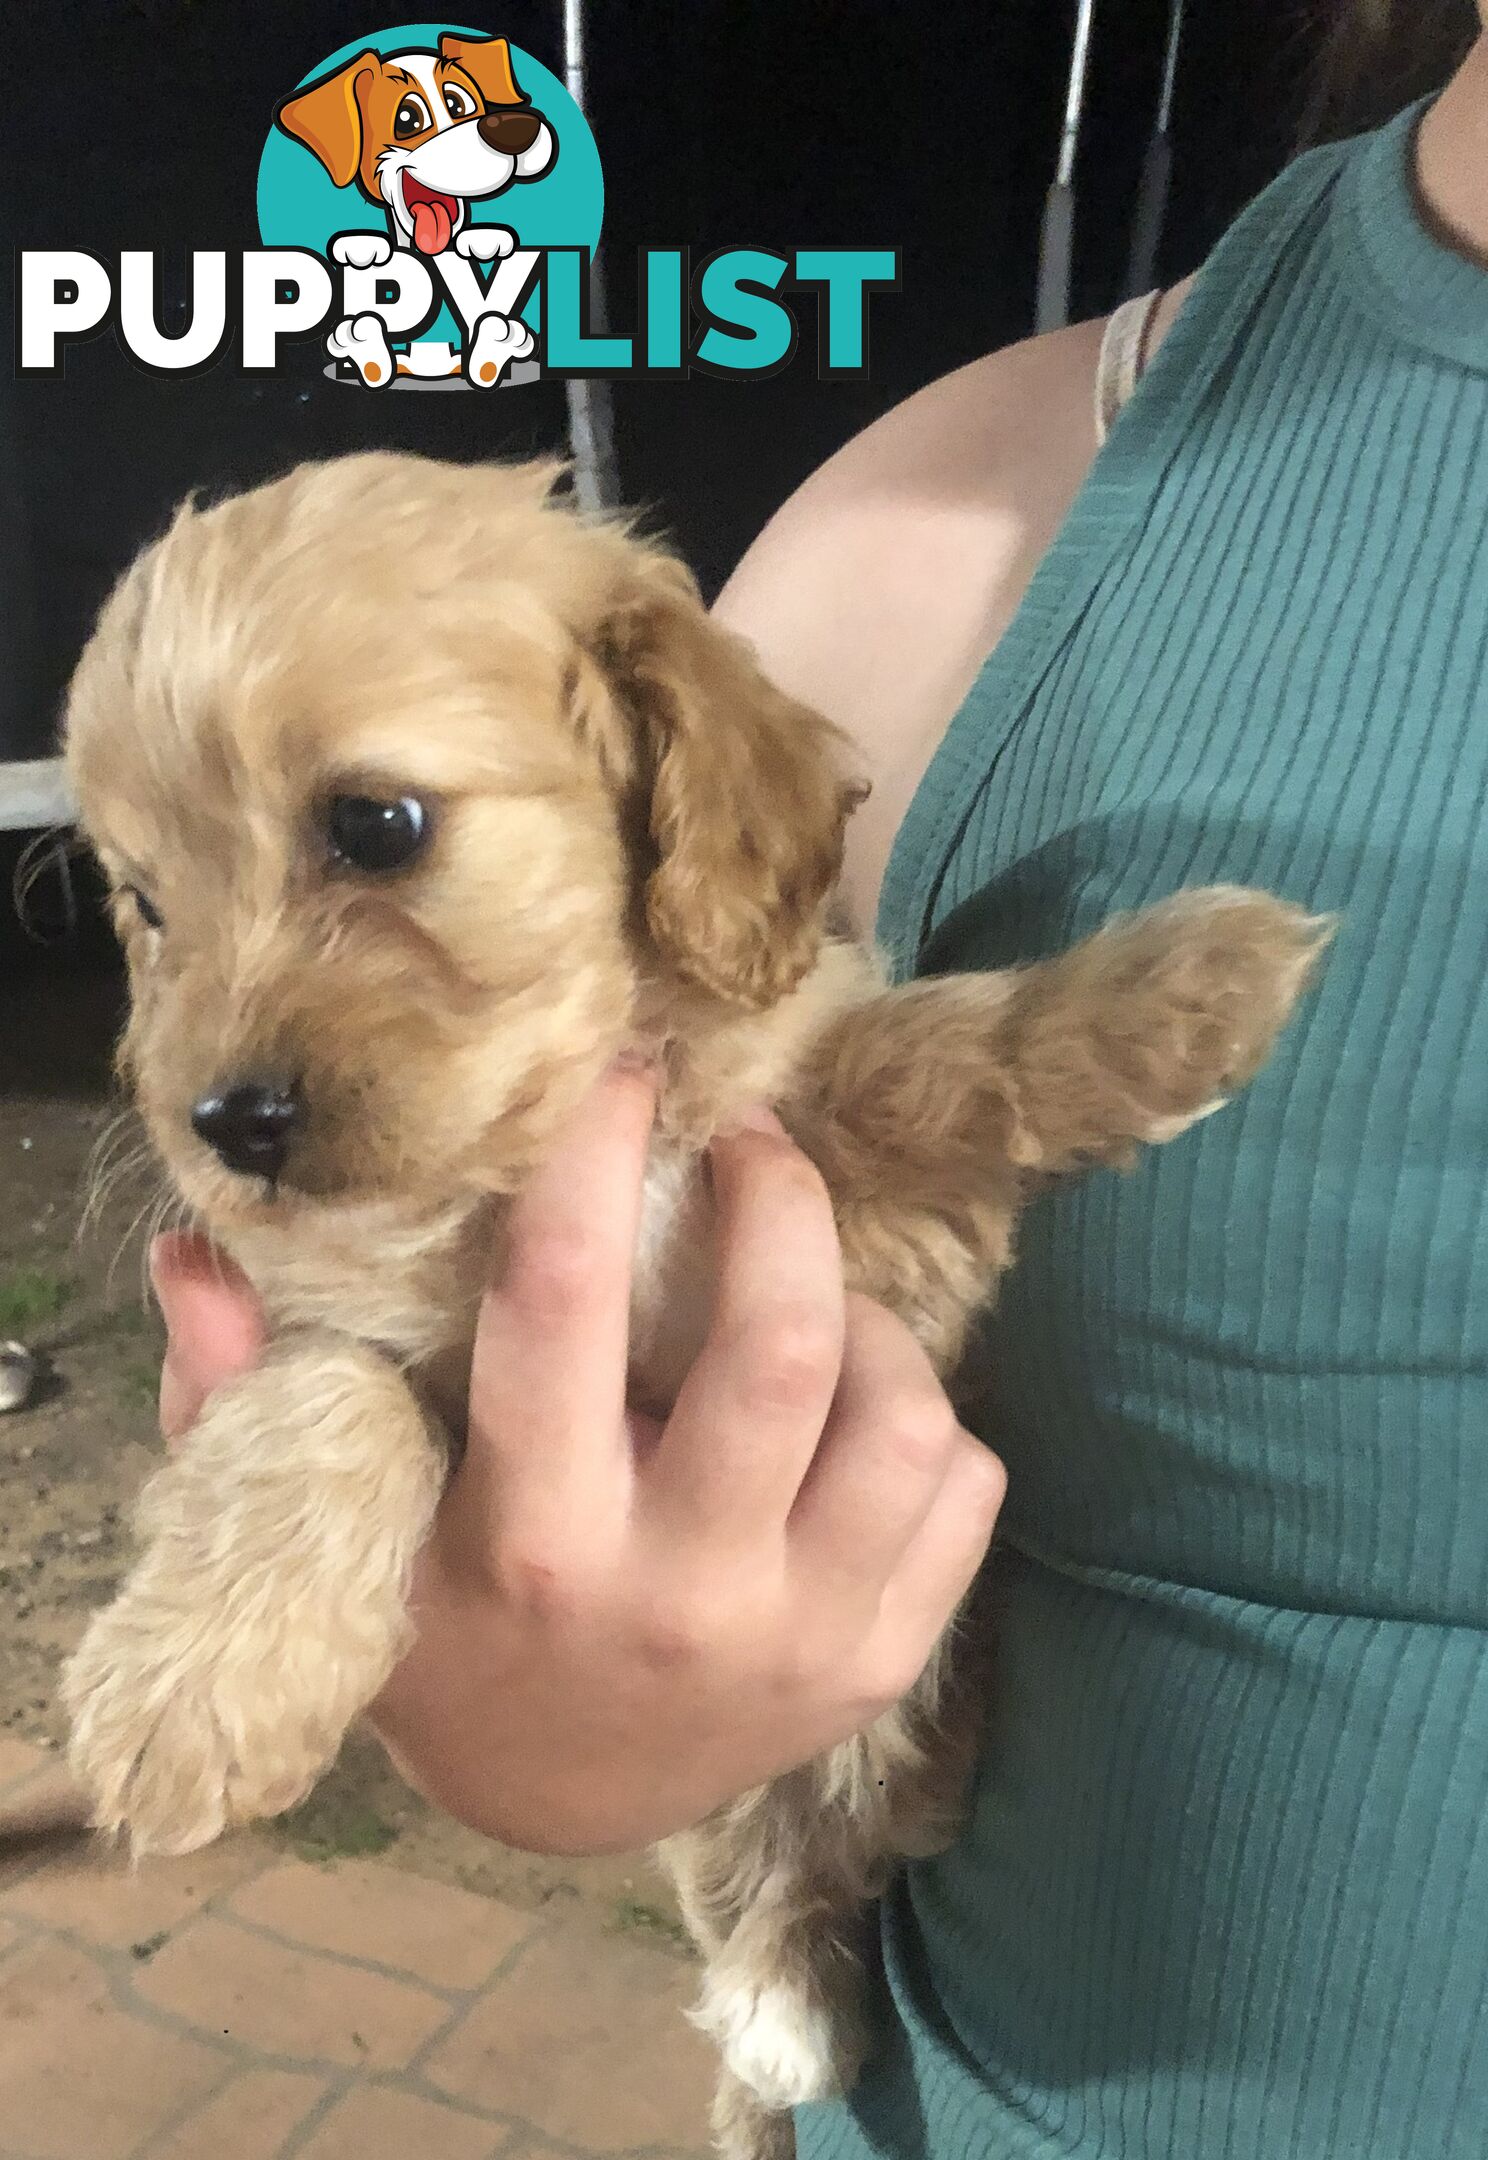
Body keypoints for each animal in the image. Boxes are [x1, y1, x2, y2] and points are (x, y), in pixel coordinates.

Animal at [61, 447, 1321, 2151]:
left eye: (375, 824)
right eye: (141, 901)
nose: (221, 1124)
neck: (568, 1135)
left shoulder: (856, 1195)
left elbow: (926, 1047)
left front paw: (1187, 985)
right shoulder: (337, 1323)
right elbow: (328, 1398)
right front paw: (195, 1686)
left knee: (834, 1841)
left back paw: (790, 2004)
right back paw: (771, 2026)